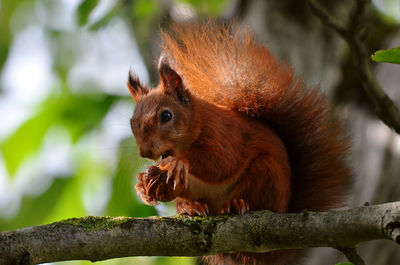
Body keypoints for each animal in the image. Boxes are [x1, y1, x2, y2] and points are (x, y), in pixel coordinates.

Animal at [127, 21, 350, 264]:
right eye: (132, 122)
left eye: (166, 115)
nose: (145, 152)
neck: (196, 124)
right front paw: (141, 186)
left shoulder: (224, 135)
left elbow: (221, 164)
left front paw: (178, 163)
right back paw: (190, 206)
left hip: (266, 173)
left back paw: (237, 204)